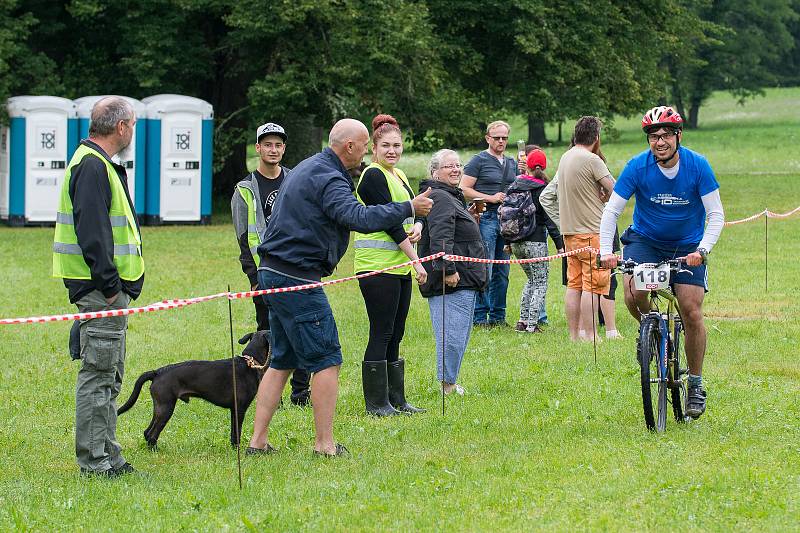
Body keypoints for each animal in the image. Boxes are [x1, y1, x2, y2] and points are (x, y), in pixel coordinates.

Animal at [117, 330, 270, 446]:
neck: (250, 362)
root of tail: (157, 372)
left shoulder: (233, 410)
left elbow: (233, 433)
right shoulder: (240, 409)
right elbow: (237, 432)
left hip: (160, 407)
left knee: (147, 432)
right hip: (166, 408)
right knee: (152, 433)